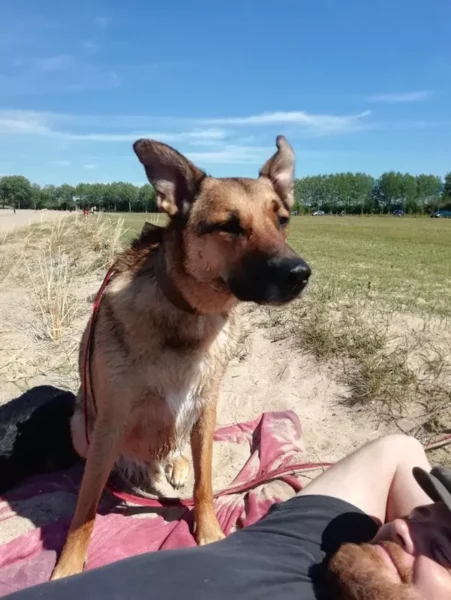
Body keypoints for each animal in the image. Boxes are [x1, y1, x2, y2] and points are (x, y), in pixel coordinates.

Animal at [50, 137, 310, 580]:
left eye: (282, 220)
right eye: (229, 226)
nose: (300, 274)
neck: (190, 315)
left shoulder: (205, 409)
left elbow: (205, 484)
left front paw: (207, 532)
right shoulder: (109, 422)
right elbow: (84, 511)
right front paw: (67, 567)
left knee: (177, 453)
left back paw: (175, 465)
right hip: (81, 429)